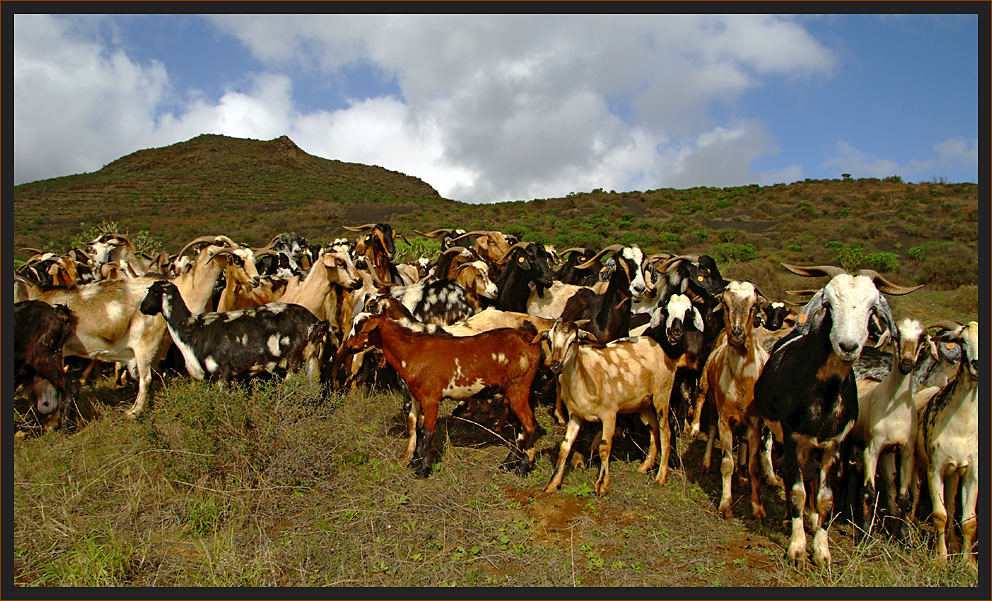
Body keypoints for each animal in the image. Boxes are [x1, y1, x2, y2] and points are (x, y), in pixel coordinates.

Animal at [140, 278, 330, 382]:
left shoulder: (220, 373)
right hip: (311, 359)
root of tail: (314, 322)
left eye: (151, 292)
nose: (142, 307)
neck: (191, 327)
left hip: (293, 362)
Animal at [338, 316, 548, 476]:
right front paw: (415, 462)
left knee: (530, 426)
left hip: (518, 388)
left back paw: (522, 468)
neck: (411, 351)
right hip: (513, 393)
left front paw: (422, 469)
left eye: (360, 327)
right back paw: (507, 464)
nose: (347, 347)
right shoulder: (419, 398)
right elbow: (419, 428)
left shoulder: (431, 398)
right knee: (519, 427)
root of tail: (529, 338)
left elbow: (428, 432)